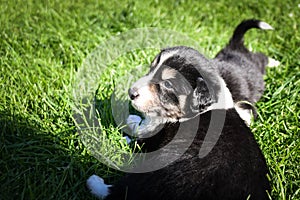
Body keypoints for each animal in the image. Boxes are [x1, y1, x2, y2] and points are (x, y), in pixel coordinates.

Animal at [87, 19, 274, 200]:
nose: (131, 93)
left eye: (168, 84)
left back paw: (94, 182)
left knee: (124, 190)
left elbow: (141, 135)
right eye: (151, 68)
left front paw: (130, 125)